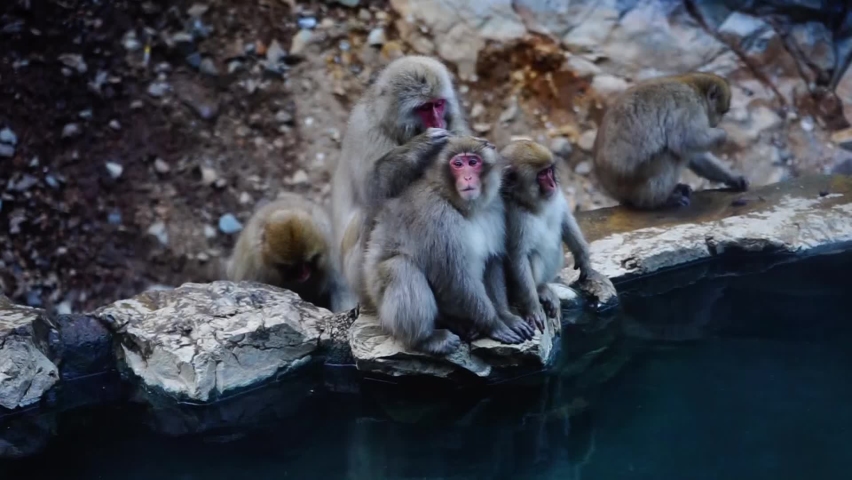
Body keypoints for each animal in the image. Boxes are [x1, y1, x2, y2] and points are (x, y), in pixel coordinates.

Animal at [331, 55, 470, 297]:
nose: (438, 121)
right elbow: (371, 190)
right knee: (370, 213)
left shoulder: (455, 124)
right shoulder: (365, 129)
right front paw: (422, 146)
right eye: (425, 108)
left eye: (438, 104)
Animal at [362, 136, 535, 356]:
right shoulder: (436, 217)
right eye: (458, 164)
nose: (468, 178)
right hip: (380, 297)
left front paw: (506, 315)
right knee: (400, 267)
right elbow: (454, 279)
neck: (461, 206)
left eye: (473, 162)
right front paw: (494, 324)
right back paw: (427, 339)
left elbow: (491, 262)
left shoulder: (494, 209)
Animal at [500, 140, 614, 329]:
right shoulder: (513, 217)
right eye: (541, 175)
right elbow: (516, 256)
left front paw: (584, 260)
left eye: (549, 171)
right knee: (532, 256)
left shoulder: (557, 197)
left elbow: (566, 222)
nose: (553, 184)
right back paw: (540, 289)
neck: (532, 204)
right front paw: (533, 308)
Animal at [593, 72, 749, 209]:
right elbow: (685, 140)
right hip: (632, 183)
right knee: (669, 155)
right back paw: (658, 201)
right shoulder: (690, 106)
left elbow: (694, 154)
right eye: (722, 112)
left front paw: (734, 178)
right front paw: (723, 135)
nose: (716, 123)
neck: (694, 86)